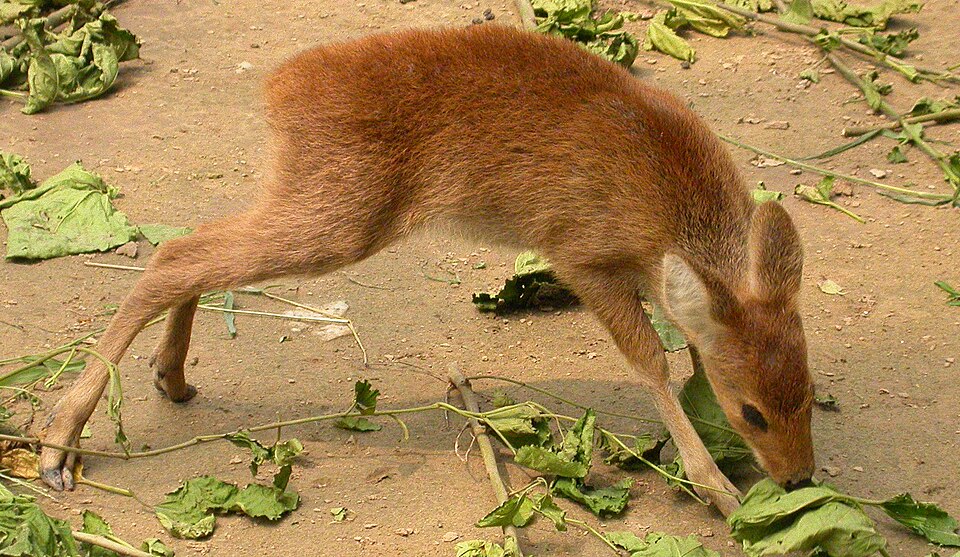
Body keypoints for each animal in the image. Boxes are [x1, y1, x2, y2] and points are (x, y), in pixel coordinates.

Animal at [38, 24, 815, 516]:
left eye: (808, 390)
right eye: (751, 410)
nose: (799, 477)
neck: (670, 198)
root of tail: (280, 88)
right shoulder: (581, 257)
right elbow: (652, 362)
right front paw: (718, 490)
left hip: (306, 205)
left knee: (192, 244)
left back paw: (170, 376)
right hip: (337, 221)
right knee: (174, 257)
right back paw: (57, 443)